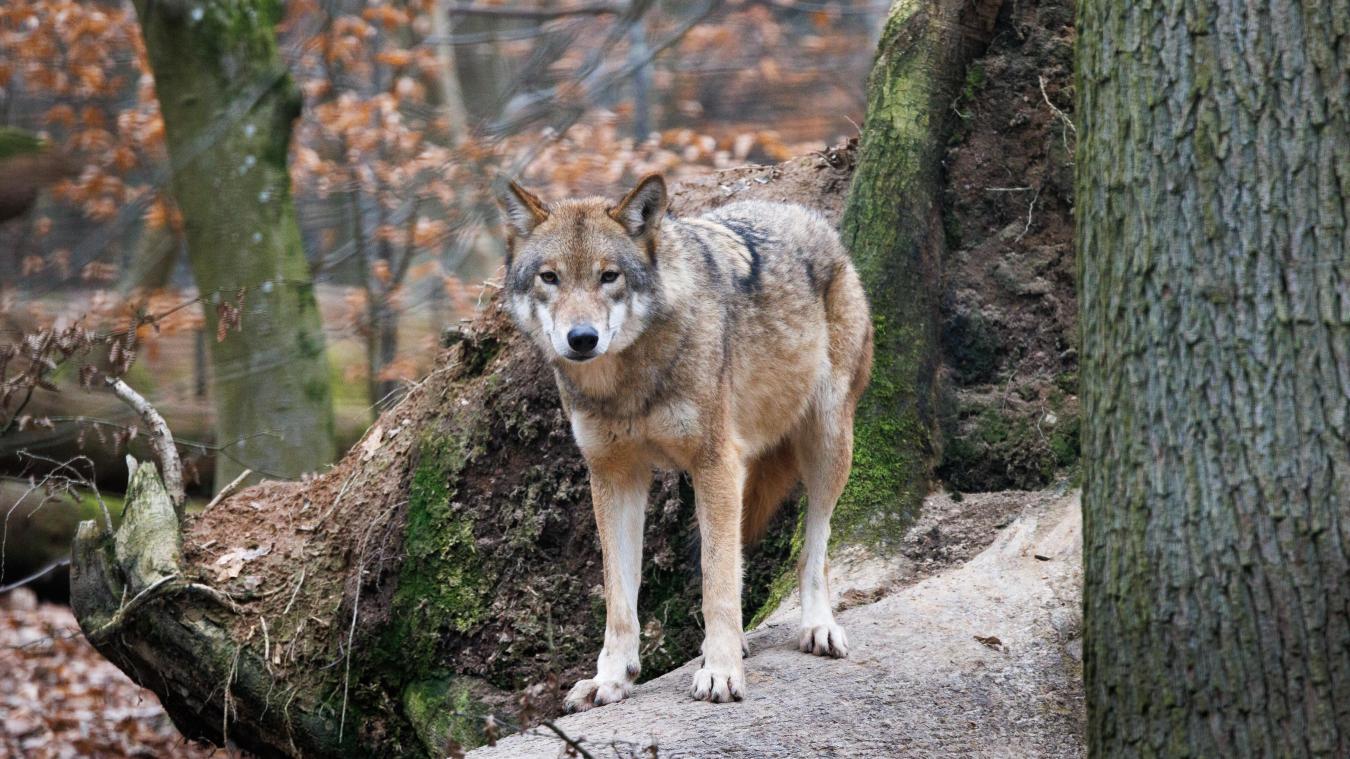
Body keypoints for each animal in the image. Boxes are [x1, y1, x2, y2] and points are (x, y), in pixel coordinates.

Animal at [496, 174, 873, 709]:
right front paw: (611, 678)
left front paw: (721, 672)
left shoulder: (714, 462)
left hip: (826, 440)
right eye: (550, 278)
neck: (628, 386)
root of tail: (811, 218)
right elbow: (620, 597)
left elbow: (717, 582)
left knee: (812, 549)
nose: (582, 337)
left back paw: (816, 626)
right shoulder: (614, 475)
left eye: (609, 276)